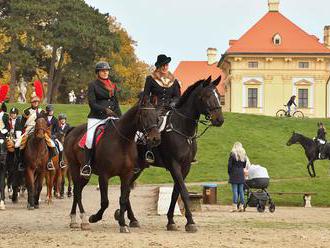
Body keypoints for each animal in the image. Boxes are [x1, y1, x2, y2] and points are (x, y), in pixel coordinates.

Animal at [63, 99, 161, 232]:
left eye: (157, 117)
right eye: (145, 115)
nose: (156, 138)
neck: (121, 142)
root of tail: (72, 130)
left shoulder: (127, 175)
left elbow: (123, 199)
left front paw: (123, 224)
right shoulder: (104, 176)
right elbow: (105, 202)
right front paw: (94, 218)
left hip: (85, 175)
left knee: (78, 190)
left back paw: (74, 220)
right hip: (74, 167)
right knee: (77, 191)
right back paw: (83, 220)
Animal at [122, 76, 226, 232]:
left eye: (219, 96)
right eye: (207, 96)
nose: (219, 119)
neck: (182, 128)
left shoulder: (185, 167)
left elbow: (175, 193)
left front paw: (171, 221)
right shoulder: (174, 165)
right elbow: (183, 191)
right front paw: (190, 222)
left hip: (139, 168)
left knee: (127, 189)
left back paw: (131, 218)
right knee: (126, 190)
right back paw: (128, 218)